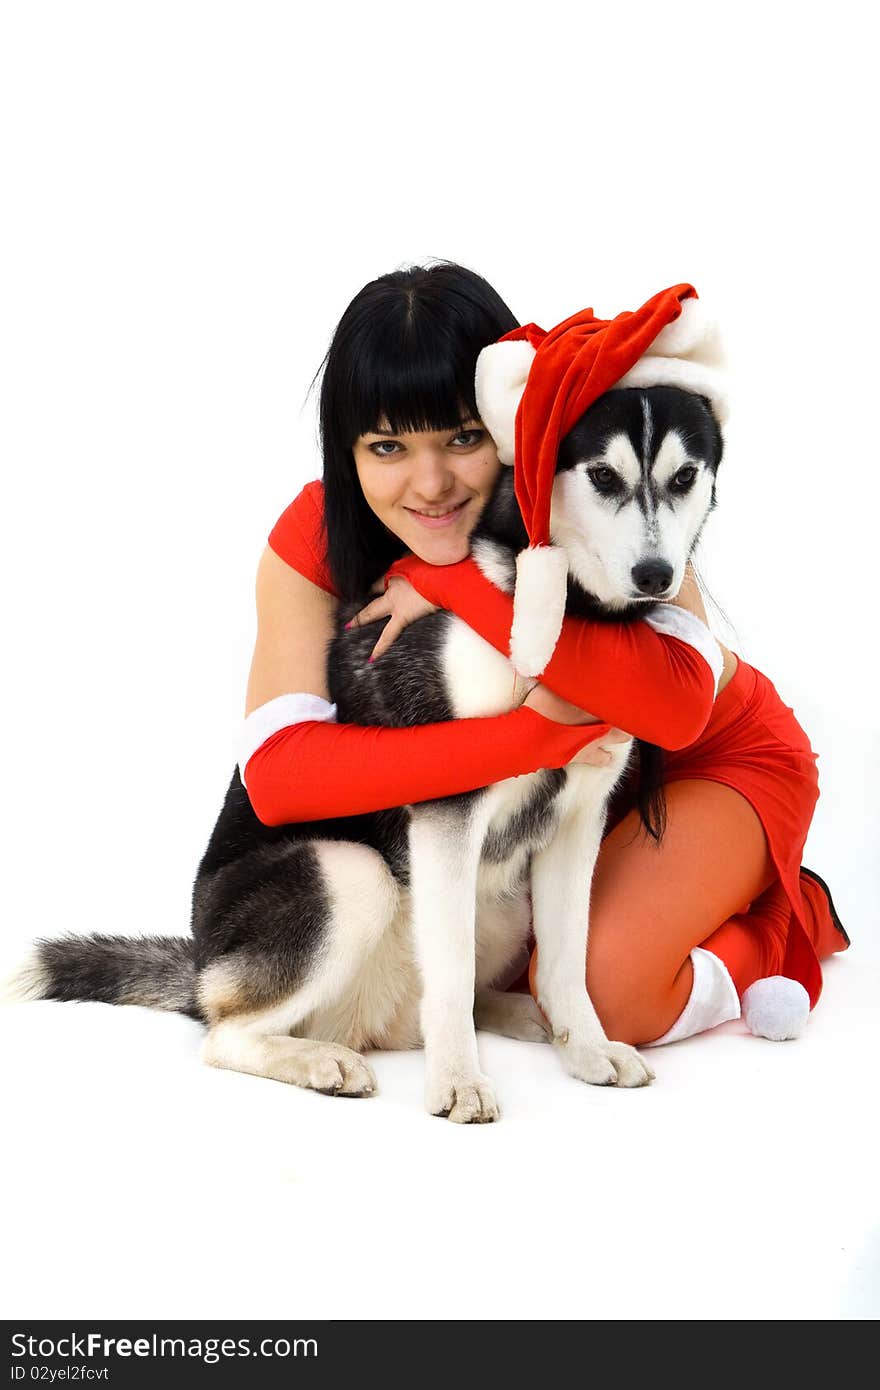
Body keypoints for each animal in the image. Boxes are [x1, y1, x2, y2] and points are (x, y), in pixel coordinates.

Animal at [8, 386, 722, 1123]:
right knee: (227, 1031)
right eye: (603, 476)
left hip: (502, 905)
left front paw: (585, 1045)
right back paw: (322, 1059)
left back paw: (524, 1015)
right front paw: (458, 1081)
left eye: (684, 477)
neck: (569, 619)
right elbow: (451, 971)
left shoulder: (580, 819)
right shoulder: (448, 799)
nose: (656, 576)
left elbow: (565, 960)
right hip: (348, 874)